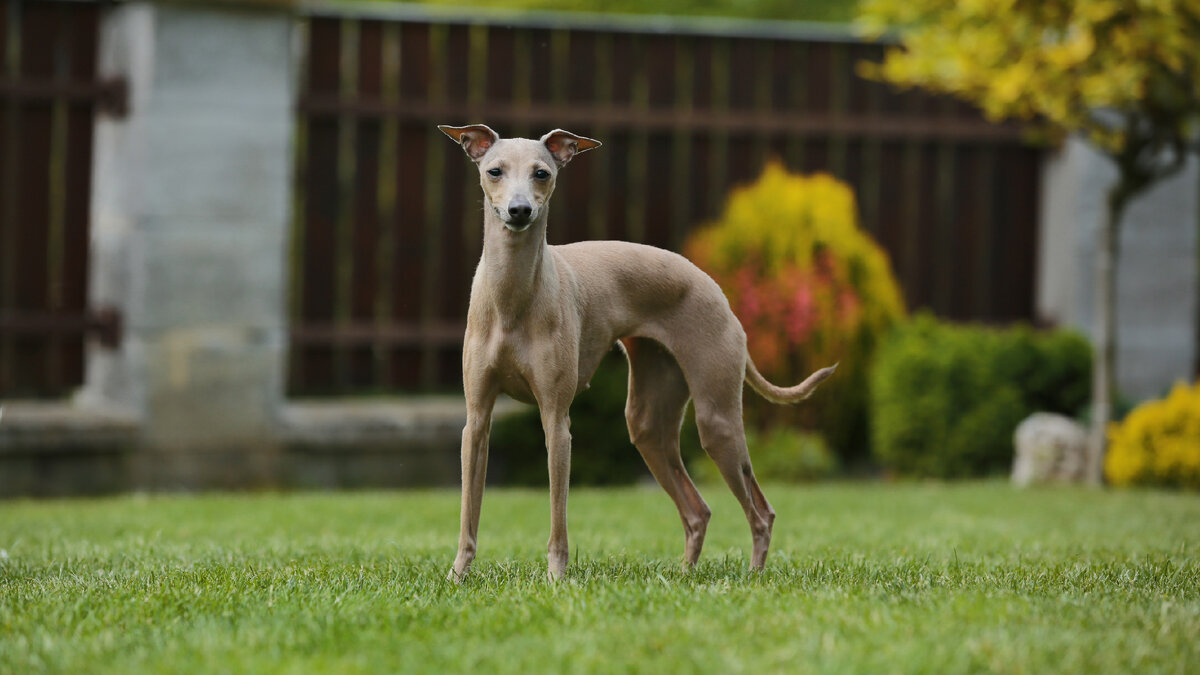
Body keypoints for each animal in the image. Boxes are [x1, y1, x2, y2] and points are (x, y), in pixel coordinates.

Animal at [439, 121, 835, 578]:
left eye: (542, 173)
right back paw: (685, 575)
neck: (512, 299)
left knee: (760, 513)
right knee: (698, 510)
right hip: (649, 422)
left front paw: (556, 577)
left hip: (717, 419)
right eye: (494, 171)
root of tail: (716, 290)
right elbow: (469, 510)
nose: (519, 211)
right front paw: (457, 576)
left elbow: (558, 517)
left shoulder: (556, 421)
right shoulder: (476, 420)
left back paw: (752, 577)